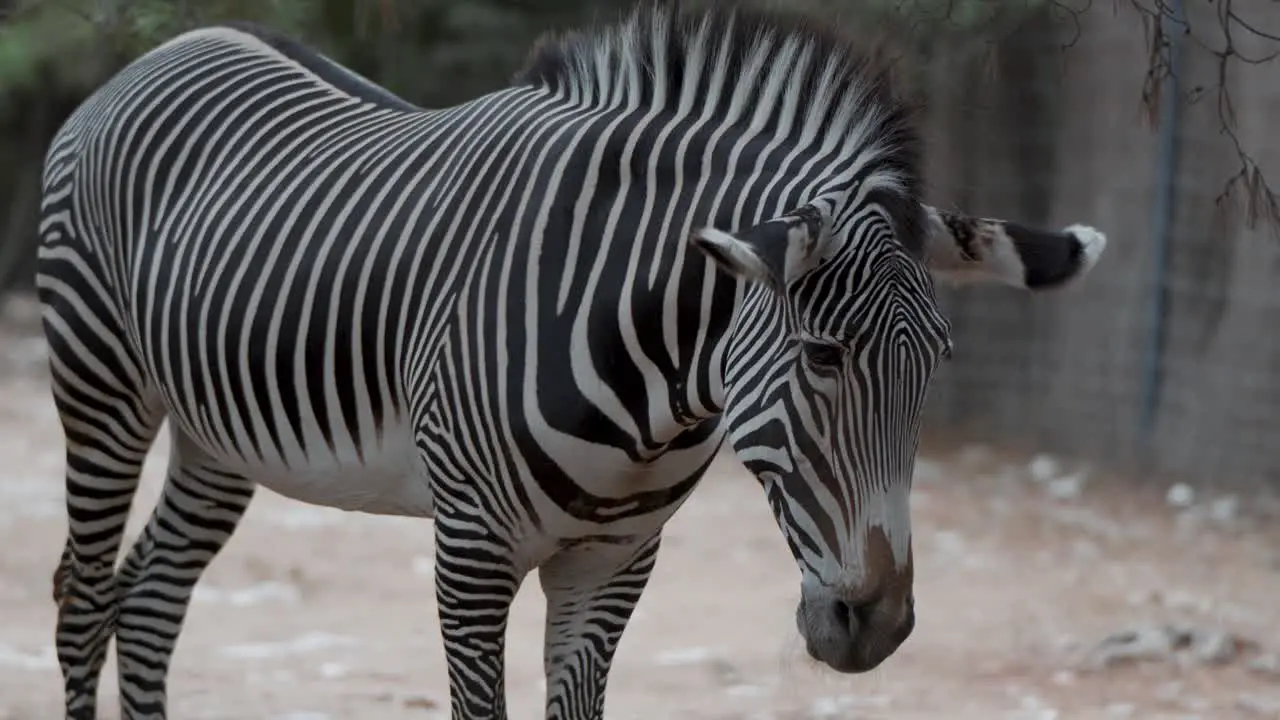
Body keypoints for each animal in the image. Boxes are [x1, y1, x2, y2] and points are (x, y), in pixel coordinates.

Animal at [37, 2, 1100, 712]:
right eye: (823, 356)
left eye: (937, 366)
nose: (874, 626)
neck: (656, 394)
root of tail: (170, 47)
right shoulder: (469, 550)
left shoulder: (615, 562)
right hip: (102, 388)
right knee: (85, 593)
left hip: (219, 433)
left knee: (150, 599)